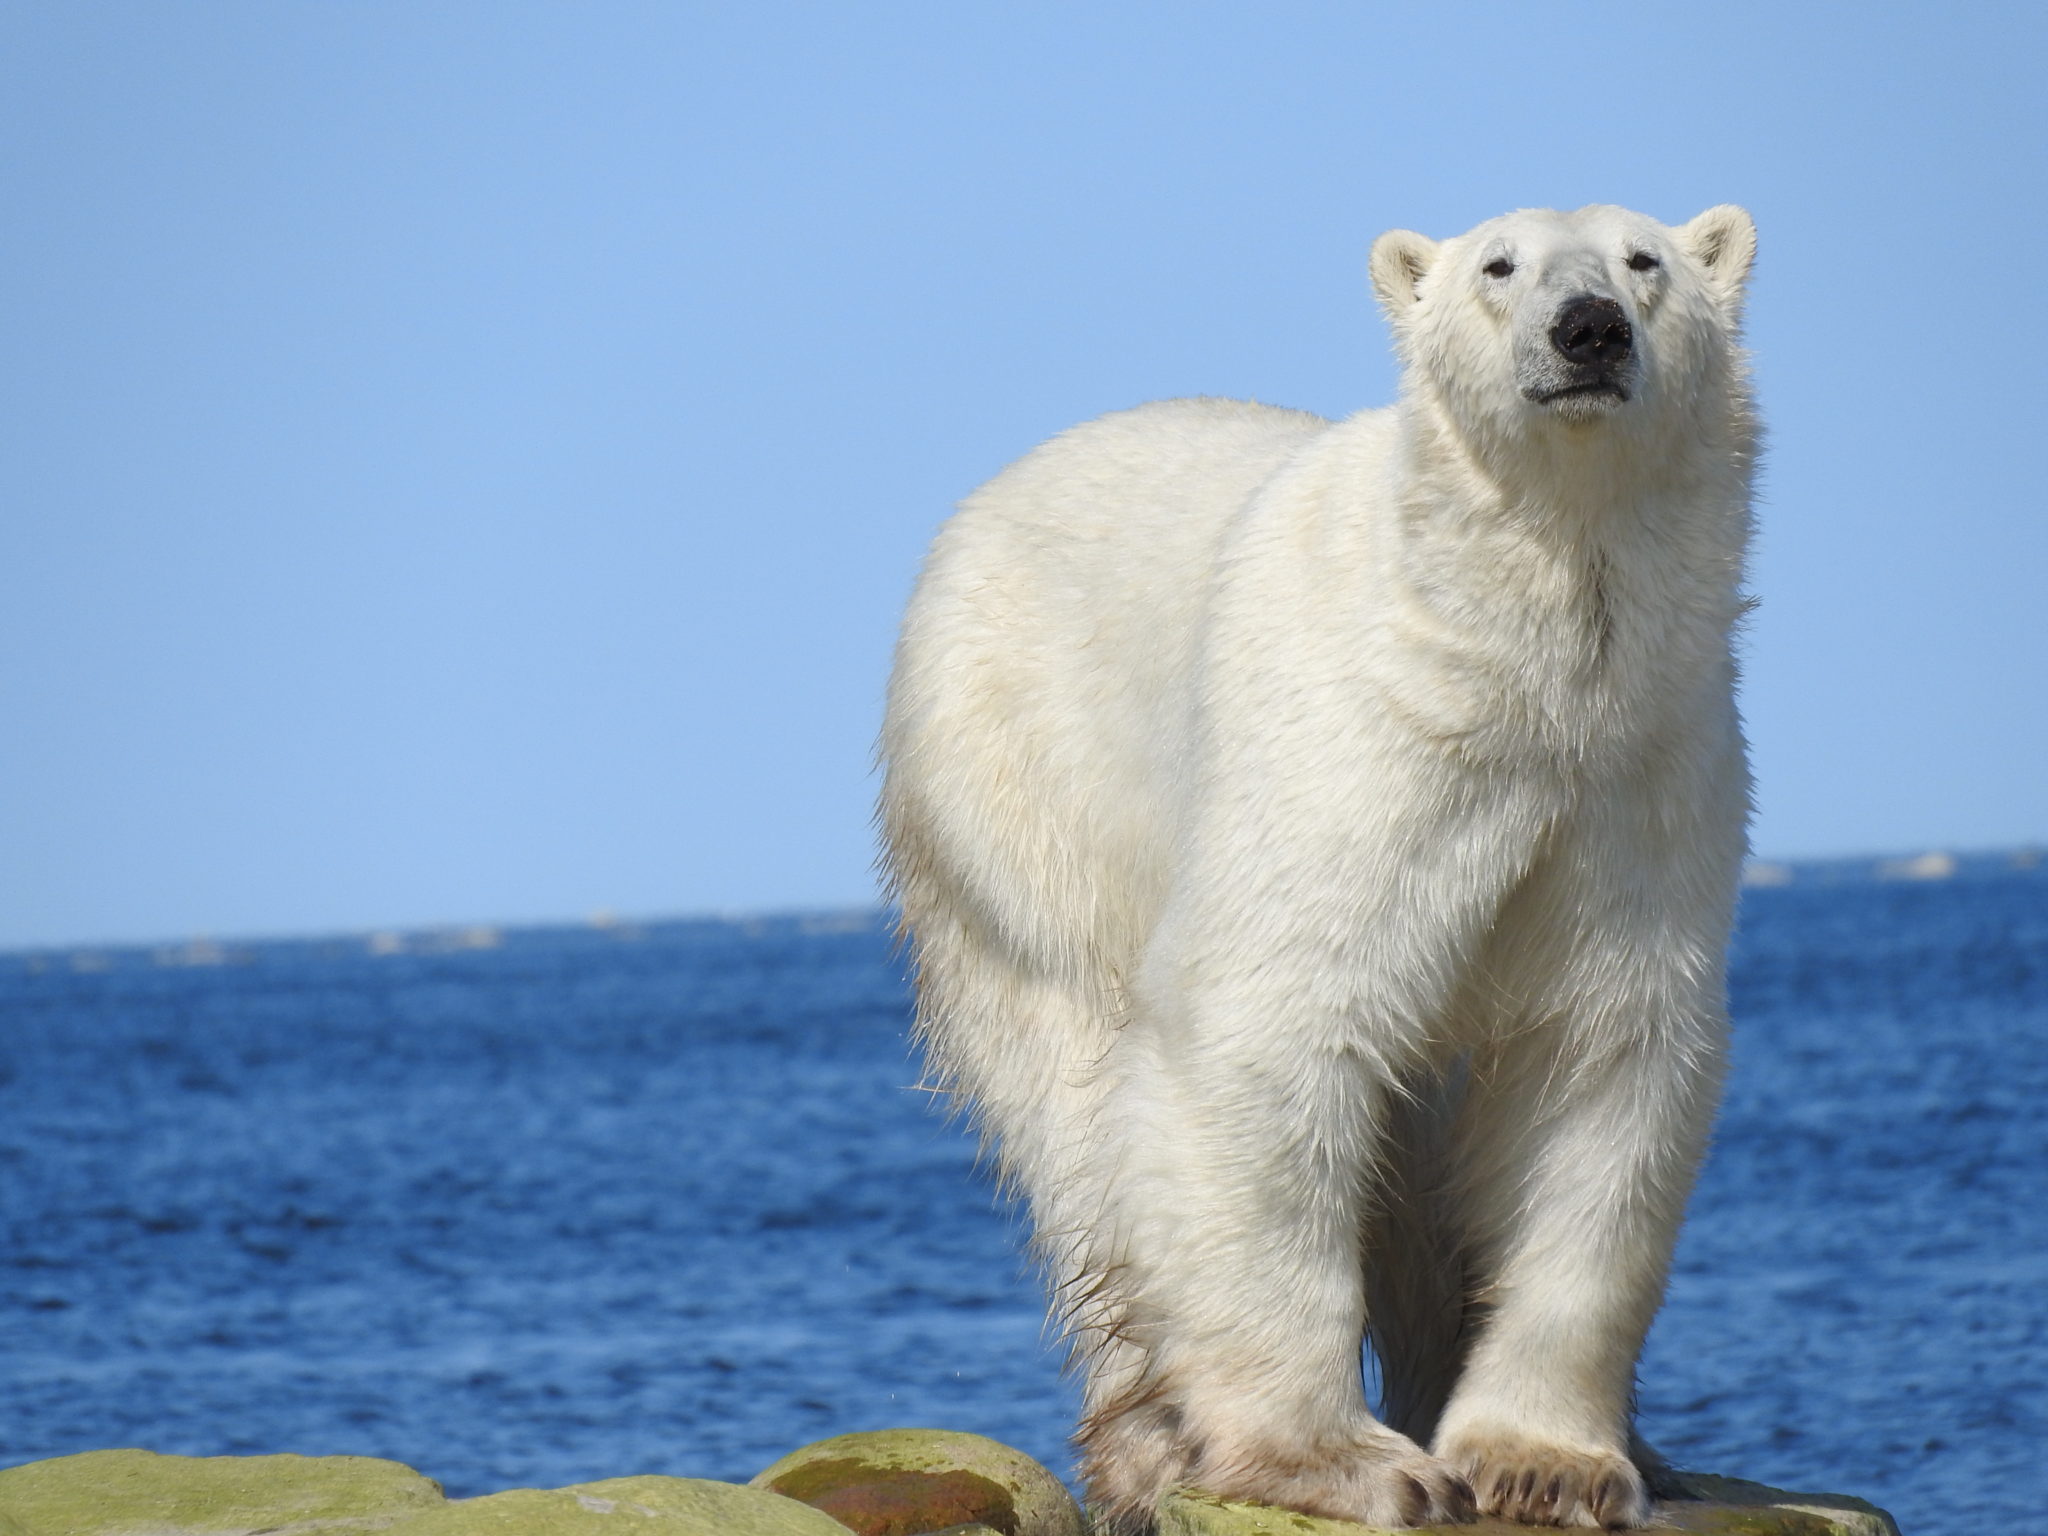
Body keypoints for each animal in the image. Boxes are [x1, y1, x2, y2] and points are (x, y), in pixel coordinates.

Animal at [878, 204, 1759, 1531]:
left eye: (1641, 261)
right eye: (1498, 263)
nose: (1586, 329)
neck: (1521, 672)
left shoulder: (1635, 789)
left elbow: (1594, 1064)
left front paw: (1539, 1463)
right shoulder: (1354, 761)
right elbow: (1273, 1027)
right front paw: (1340, 1462)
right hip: (1024, 812)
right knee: (1082, 1126)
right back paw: (1149, 1443)